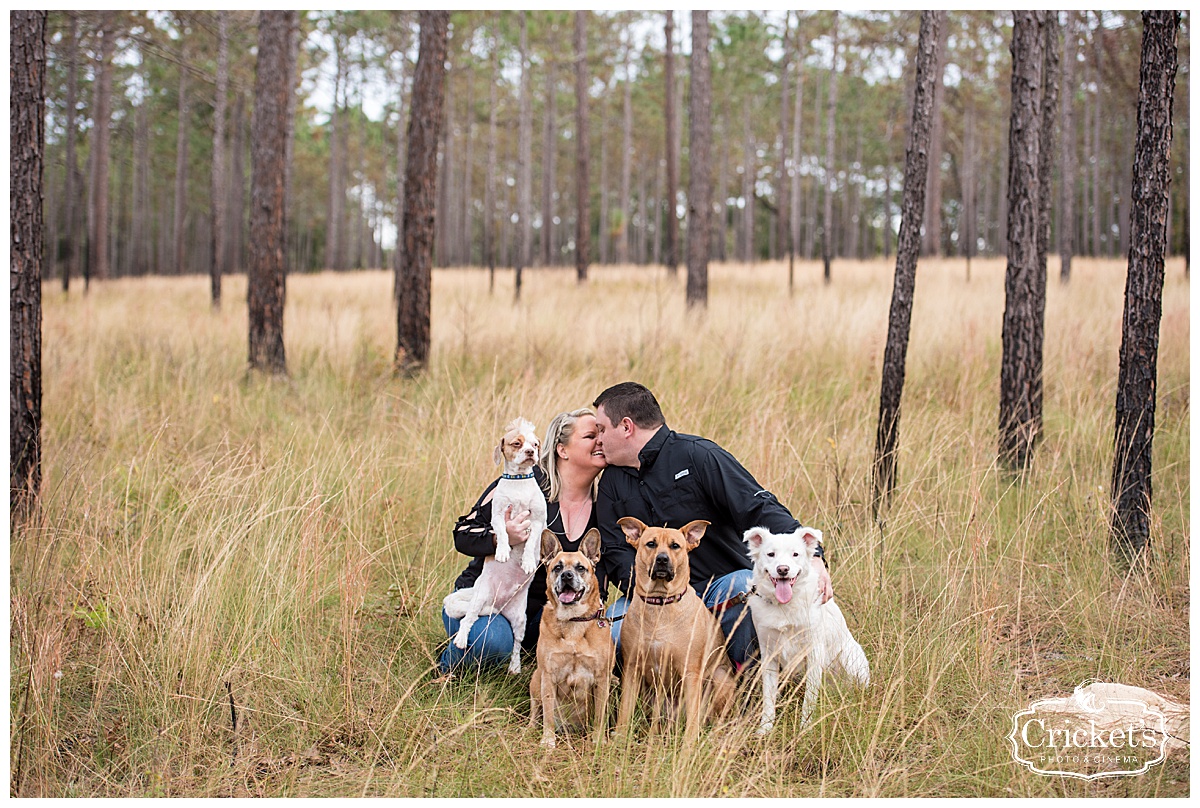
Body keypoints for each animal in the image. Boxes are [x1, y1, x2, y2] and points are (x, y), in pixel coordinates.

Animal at [446, 415, 549, 672]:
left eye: (535, 444)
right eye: (517, 443)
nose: (530, 452)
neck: (519, 482)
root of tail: (498, 606)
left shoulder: (538, 520)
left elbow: (531, 540)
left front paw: (527, 561)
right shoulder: (499, 515)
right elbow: (502, 533)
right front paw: (503, 552)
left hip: (520, 620)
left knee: (516, 645)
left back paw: (515, 667)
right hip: (478, 599)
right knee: (468, 620)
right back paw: (461, 639)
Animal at [530, 525, 614, 749]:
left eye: (581, 568)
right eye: (557, 568)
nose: (567, 575)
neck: (574, 620)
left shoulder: (602, 679)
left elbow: (600, 715)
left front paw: (598, 739)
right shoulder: (548, 675)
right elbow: (548, 714)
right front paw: (548, 740)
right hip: (536, 680)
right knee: (536, 711)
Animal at [619, 516, 739, 739]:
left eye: (675, 546)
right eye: (651, 544)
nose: (662, 559)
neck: (660, 604)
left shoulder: (691, 672)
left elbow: (693, 720)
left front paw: (689, 744)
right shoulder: (632, 668)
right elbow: (624, 711)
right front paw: (619, 738)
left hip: (721, 679)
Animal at [744, 523, 868, 729]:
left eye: (795, 554)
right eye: (771, 554)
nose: (783, 569)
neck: (784, 605)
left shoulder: (814, 653)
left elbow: (809, 699)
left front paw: (805, 727)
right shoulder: (769, 654)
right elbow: (769, 697)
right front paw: (765, 728)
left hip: (852, 660)